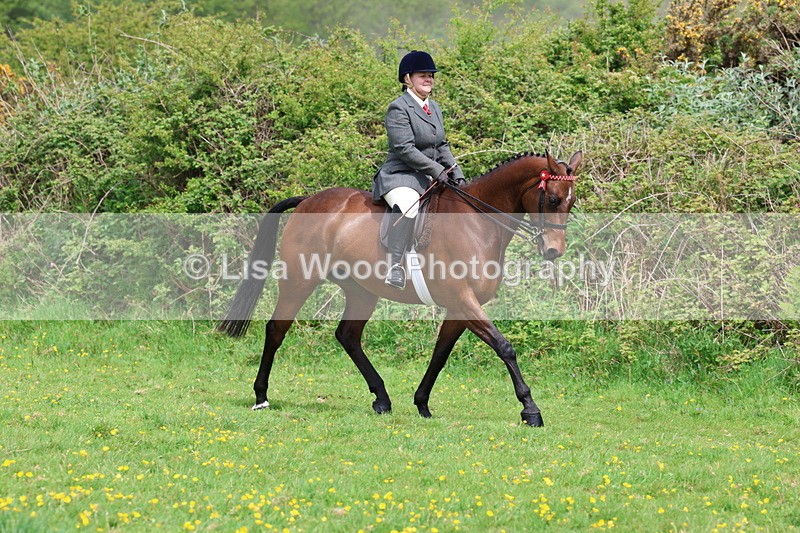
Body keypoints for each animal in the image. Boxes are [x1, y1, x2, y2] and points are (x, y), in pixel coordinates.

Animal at [218, 150, 583, 426]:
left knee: (348, 336)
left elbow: (440, 354)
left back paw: (381, 398)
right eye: (552, 199)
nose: (554, 251)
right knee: (276, 329)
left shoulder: (459, 306)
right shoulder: (463, 300)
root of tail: (310, 200)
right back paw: (261, 395)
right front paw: (530, 409)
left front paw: (422, 403)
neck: (477, 221)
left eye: (571, 202)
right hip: (298, 280)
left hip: (361, 291)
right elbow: (504, 347)